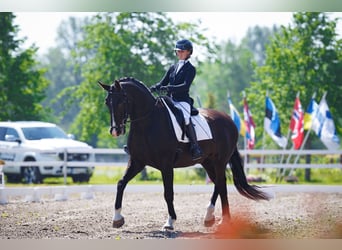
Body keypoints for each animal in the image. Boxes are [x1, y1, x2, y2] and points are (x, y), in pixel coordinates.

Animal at [98, 76, 270, 230]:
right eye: (107, 102)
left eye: (121, 102)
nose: (115, 131)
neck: (147, 122)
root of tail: (229, 120)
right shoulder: (137, 162)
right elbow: (121, 183)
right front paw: (117, 219)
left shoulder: (166, 165)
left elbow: (168, 193)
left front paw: (170, 222)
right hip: (207, 162)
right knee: (219, 183)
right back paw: (212, 218)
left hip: (220, 161)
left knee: (221, 182)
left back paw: (222, 219)